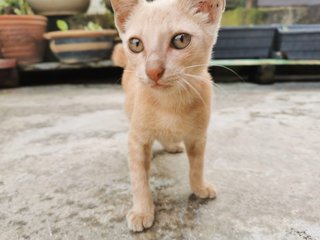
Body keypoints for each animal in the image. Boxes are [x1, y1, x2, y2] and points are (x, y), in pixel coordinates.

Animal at [110, 0, 225, 233]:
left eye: (181, 40)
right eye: (136, 44)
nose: (153, 71)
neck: (170, 105)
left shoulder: (198, 137)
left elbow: (197, 167)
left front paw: (199, 187)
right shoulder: (136, 138)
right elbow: (139, 178)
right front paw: (142, 211)